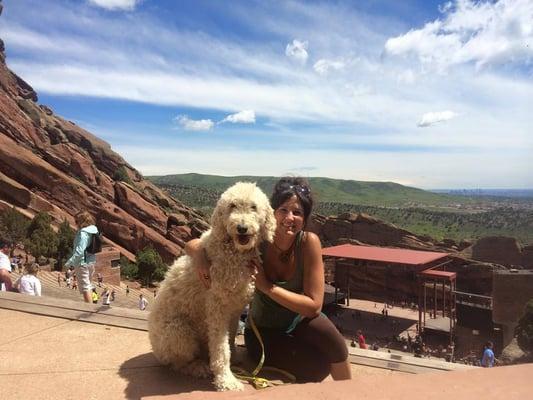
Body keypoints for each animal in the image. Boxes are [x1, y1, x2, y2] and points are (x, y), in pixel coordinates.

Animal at [149, 181, 276, 390]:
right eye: (232, 206)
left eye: (253, 207)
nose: (241, 228)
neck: (234, 251)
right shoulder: (217, 307)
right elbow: (221, 348)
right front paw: (227, 380)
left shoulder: (235, 307)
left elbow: (230, 339)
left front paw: (234, 359)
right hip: (178, 330)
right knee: (177, 362)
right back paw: (197, 367)